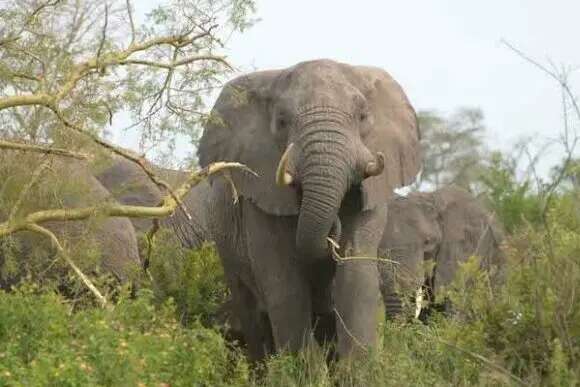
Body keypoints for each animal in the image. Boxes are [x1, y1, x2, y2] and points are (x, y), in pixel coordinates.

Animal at [197, 58, 420, 360]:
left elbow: (356, 277)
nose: (332, 232)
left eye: (363, 116)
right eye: (281, 121)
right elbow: (285, 285)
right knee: (253, 317)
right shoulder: (262, 194)